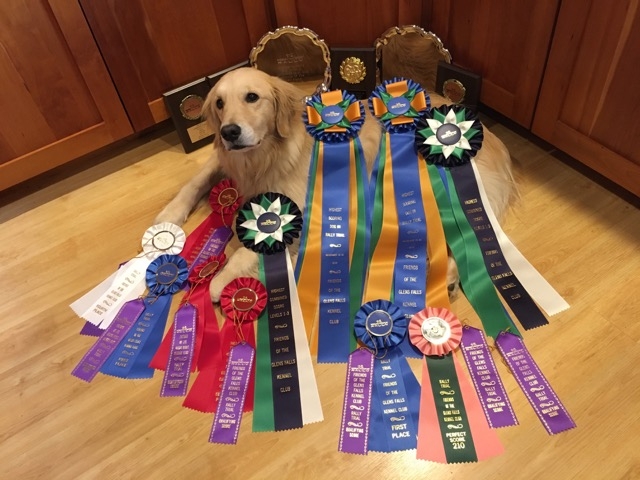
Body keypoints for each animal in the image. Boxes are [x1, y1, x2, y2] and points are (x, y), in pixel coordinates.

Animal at [155, 67, 516, 302]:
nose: (229, 132)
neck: (266, 155)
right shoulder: (227, 159)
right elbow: (196, 179)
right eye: (219, 103)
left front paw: (219, 282)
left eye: (252, 97)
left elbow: (248, 249)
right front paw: (169, 217)